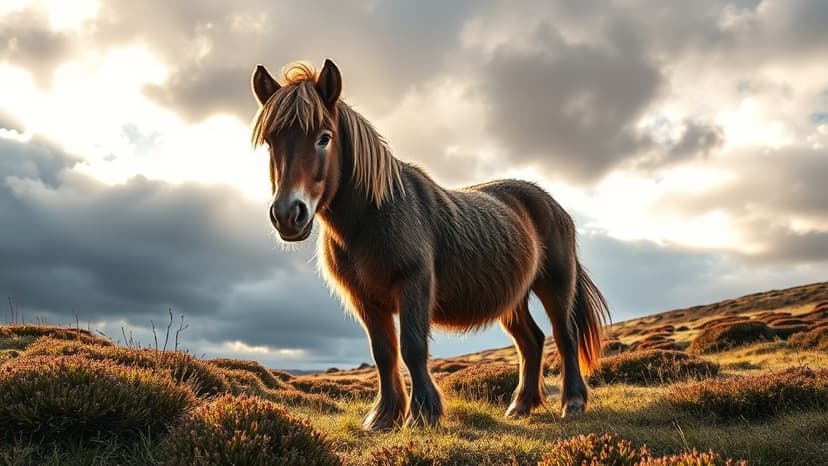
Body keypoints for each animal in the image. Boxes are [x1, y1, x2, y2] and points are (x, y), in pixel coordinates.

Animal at [249, 59, 610, 430]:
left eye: (324, 138)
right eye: (270, 142)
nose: (288, 214)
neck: (369, 219)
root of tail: (552, 203)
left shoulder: (413, 283)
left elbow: (412, 347)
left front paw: (422, 413)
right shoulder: (366, 299)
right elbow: (384, 353)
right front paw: (384, 417)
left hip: (555, 284)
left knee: (564, 336)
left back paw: (573, 403)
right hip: (513, 298)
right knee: (532, 341)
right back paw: (520, 406)